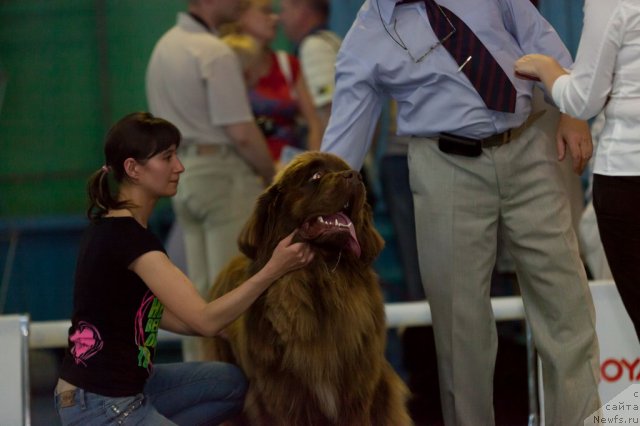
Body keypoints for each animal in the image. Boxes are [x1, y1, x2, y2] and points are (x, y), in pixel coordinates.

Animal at [208, 151, 412, 424]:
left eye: (349, 170)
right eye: (316, 176)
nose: (355, 176)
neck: (321, 274)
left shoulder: (358, 386)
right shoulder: (283, 394)